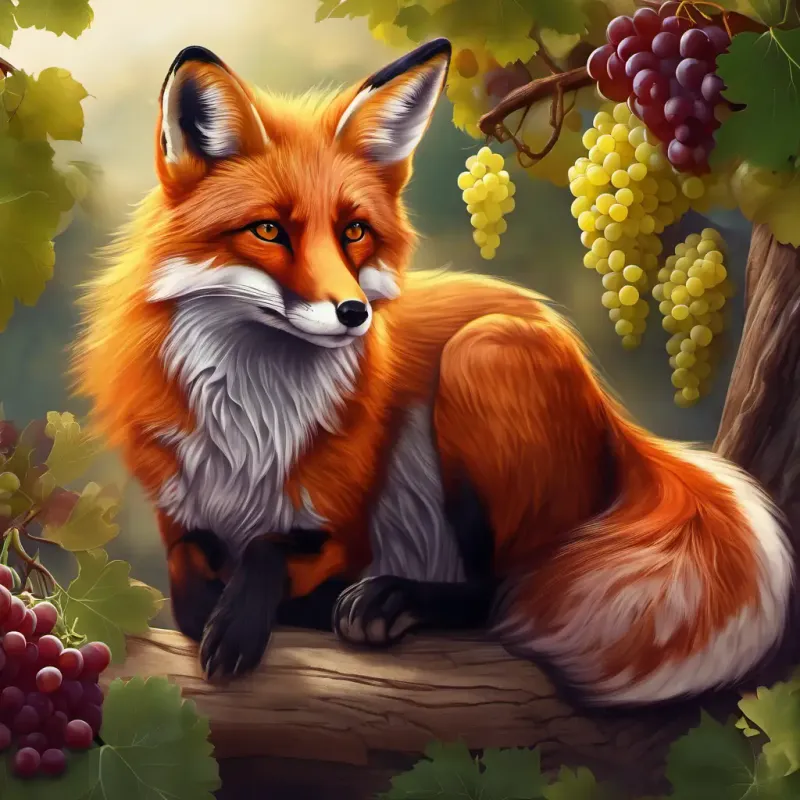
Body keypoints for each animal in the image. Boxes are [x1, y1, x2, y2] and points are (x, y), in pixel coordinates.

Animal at [72, 37, 793, 707]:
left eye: (354, 232)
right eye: (270, 230)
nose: (355, 313)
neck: (254, 427)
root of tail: (611, 417)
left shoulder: (342, 530)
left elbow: (267, 550)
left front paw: (252, 615)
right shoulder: (178, 513)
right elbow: (190, 583)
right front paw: (223, 609)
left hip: (480, 359)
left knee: (497, 597)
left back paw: (391, 602)